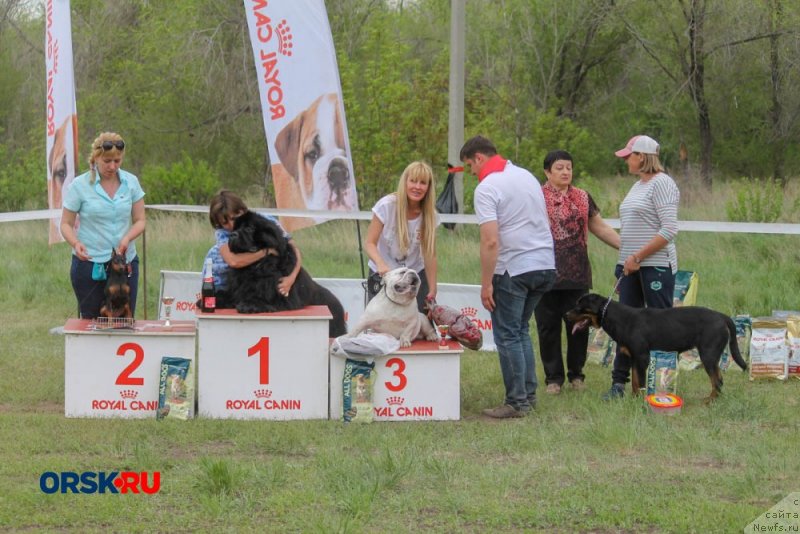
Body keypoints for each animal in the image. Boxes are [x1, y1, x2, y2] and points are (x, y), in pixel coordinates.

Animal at [227, 210, 348, 340]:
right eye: (236, 228)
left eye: (249, 228)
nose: (232, 235)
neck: (259, 265)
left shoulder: (285, 298)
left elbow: (264, 300)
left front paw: (249, 305)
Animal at [564, 296, 748, 404]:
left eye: (579, 306)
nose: (565, 315)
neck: (620, 319)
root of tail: (722, 316)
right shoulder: (634, 358)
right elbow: (635, 382)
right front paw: (634, 400)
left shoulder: (642, 357)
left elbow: (641, 382)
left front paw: (641, 402)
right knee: (719, 380)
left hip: (708, 355)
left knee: (717, 380)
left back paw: (710, 401)